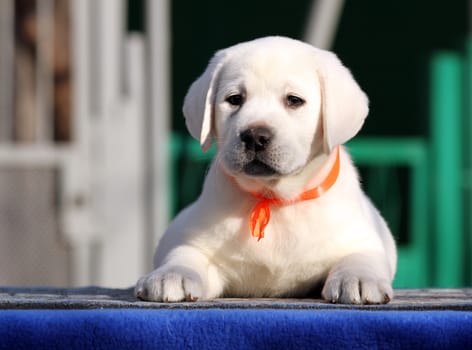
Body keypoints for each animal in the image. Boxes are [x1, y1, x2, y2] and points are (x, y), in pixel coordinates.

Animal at [135, 35, 396, 304]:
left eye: (294, 100)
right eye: (235, 99)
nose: (254, 136)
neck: (273, 198)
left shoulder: (360, 238)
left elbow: (359, 256)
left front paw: (358, 278)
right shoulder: (195, 239)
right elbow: (184, 252)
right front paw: (171, 274)